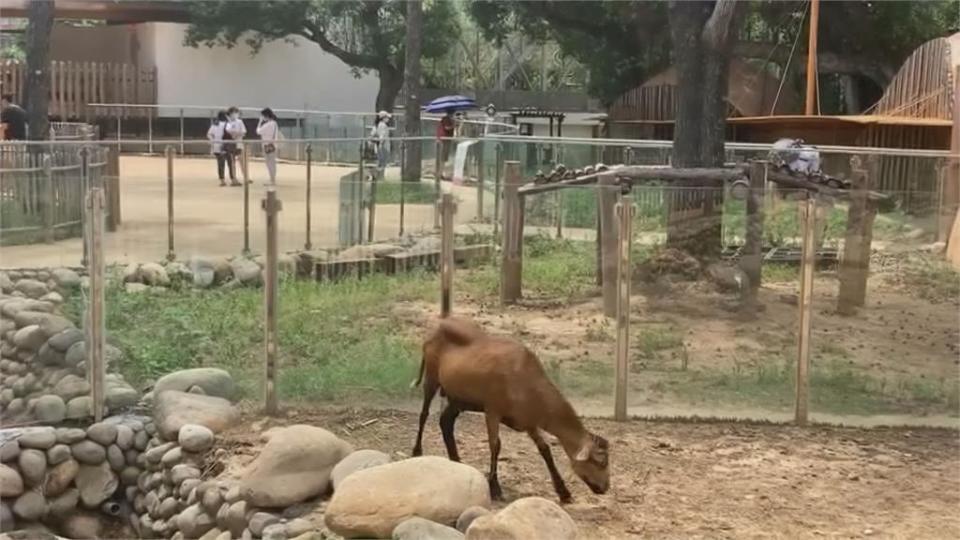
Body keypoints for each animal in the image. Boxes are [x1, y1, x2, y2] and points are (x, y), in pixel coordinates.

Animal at [410, 316, 608, 502]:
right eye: (600, 461)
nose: (605, 487)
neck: (528, 382)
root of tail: (437, 326)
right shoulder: (493, 409)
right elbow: (495, 445)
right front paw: (494, 487)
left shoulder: (527, 420)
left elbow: (544, 449)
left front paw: (564, 492)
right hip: (431, 376)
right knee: (424, 414)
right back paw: (417, 451)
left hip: (458, 397)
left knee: (446, 421)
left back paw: (457, 461)